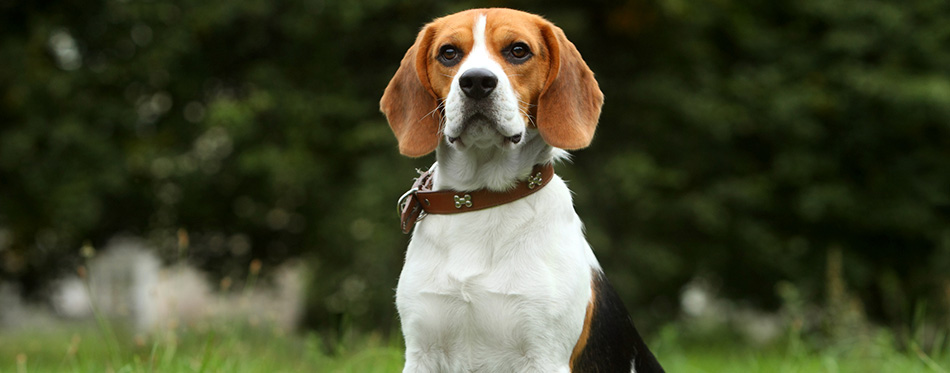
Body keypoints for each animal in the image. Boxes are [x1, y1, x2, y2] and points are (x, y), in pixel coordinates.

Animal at [384, 8, 664, 372]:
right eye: (449, 52)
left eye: (518, 50)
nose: (476, 82)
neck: (481, 197)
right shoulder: (422, 352)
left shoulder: (544, 355)